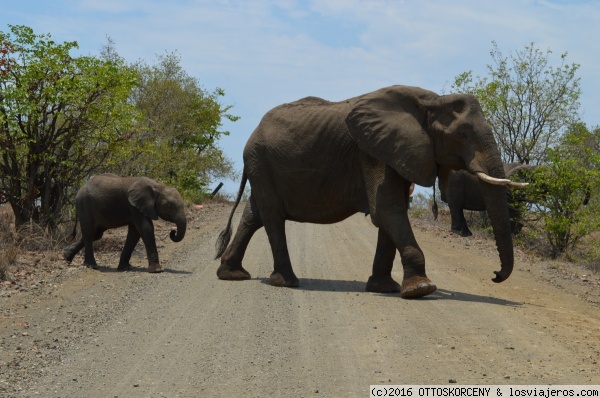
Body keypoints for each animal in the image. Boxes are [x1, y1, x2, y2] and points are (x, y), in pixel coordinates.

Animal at [218, 87, 516, 298]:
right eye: (462, 135)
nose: (494, 275)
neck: (430, 101)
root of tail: (252, 134)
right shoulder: (372, 152)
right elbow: (385, 209)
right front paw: (421, 289)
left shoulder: (391, 150)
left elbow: (390, 212)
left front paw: (385, 288)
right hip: (261, 161)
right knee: (272, 216)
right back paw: (287, 282)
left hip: (261, 166)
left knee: (254, 215)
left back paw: (232, 274)